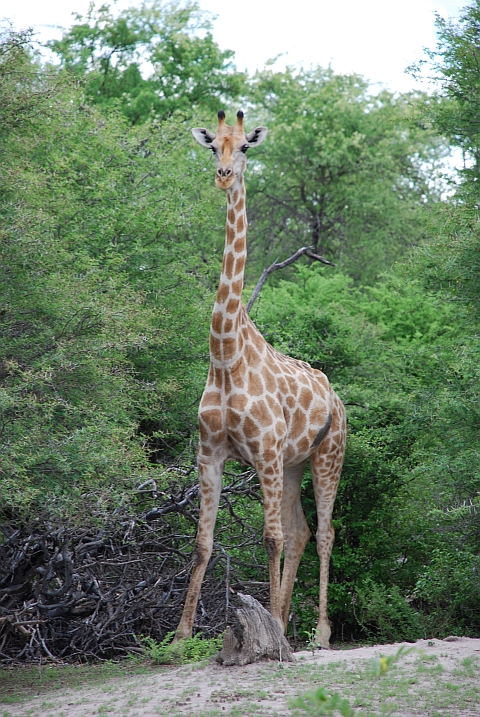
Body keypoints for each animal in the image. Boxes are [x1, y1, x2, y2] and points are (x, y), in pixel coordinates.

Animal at [175, 110, 346, 648]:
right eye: (213, 147)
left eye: (246, 147)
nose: (224, 175)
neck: (226, 356)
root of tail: (337, 398)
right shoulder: (210, 452)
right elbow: (203, 542)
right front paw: (179, 636)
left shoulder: (265, 452)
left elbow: (269, 538)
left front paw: (271, 631)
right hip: (293, 465)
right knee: (302, 531)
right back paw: (286, 620)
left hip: (327, 457)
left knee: (324, 531)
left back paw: (318, 632)